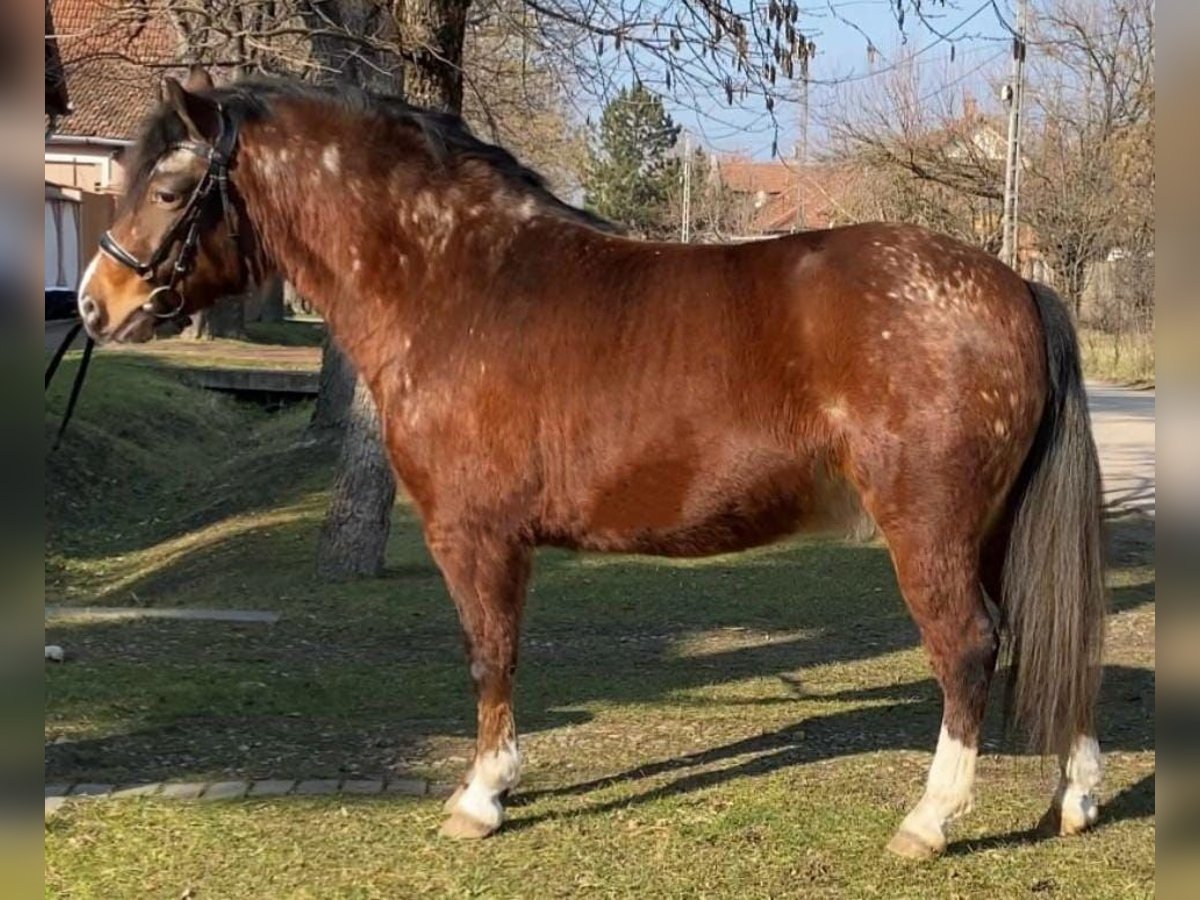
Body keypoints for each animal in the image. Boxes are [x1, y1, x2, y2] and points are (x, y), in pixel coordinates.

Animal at [75, 70, 1104, 859]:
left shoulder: (475, 534)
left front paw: (480, 798)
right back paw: (1074, 794)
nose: (94, 304)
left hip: (928, 530)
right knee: (1047, 633)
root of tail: (1017, 285)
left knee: (967, 646)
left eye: (168, 190)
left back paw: (928, 822)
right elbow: (501, 652)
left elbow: (489, 654)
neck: (455, 281)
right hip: (993, 529)